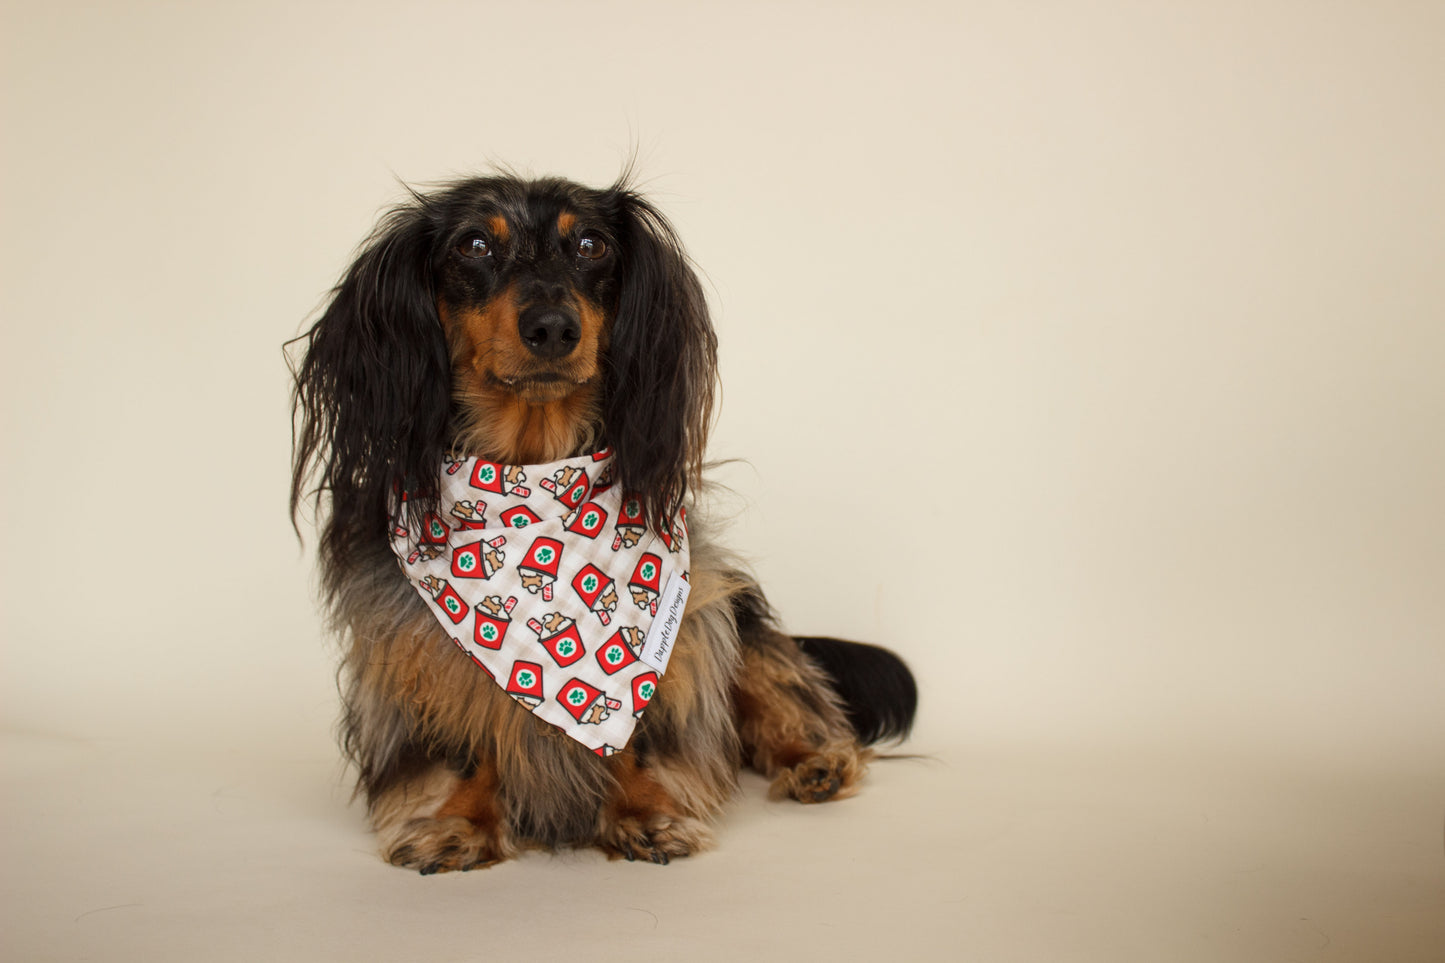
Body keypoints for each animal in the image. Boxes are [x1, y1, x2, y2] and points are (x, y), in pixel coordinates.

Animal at [291, 172, 913, 867]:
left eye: (591, 244)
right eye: (474, 244)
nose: (552, 328)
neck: (533, 479)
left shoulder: (682, 620)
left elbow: (639, 728)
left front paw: (645, 809)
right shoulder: (415, 640)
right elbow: (466, 728)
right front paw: (457, 821)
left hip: (733, 609)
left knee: (781, 681)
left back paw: (815, 758)